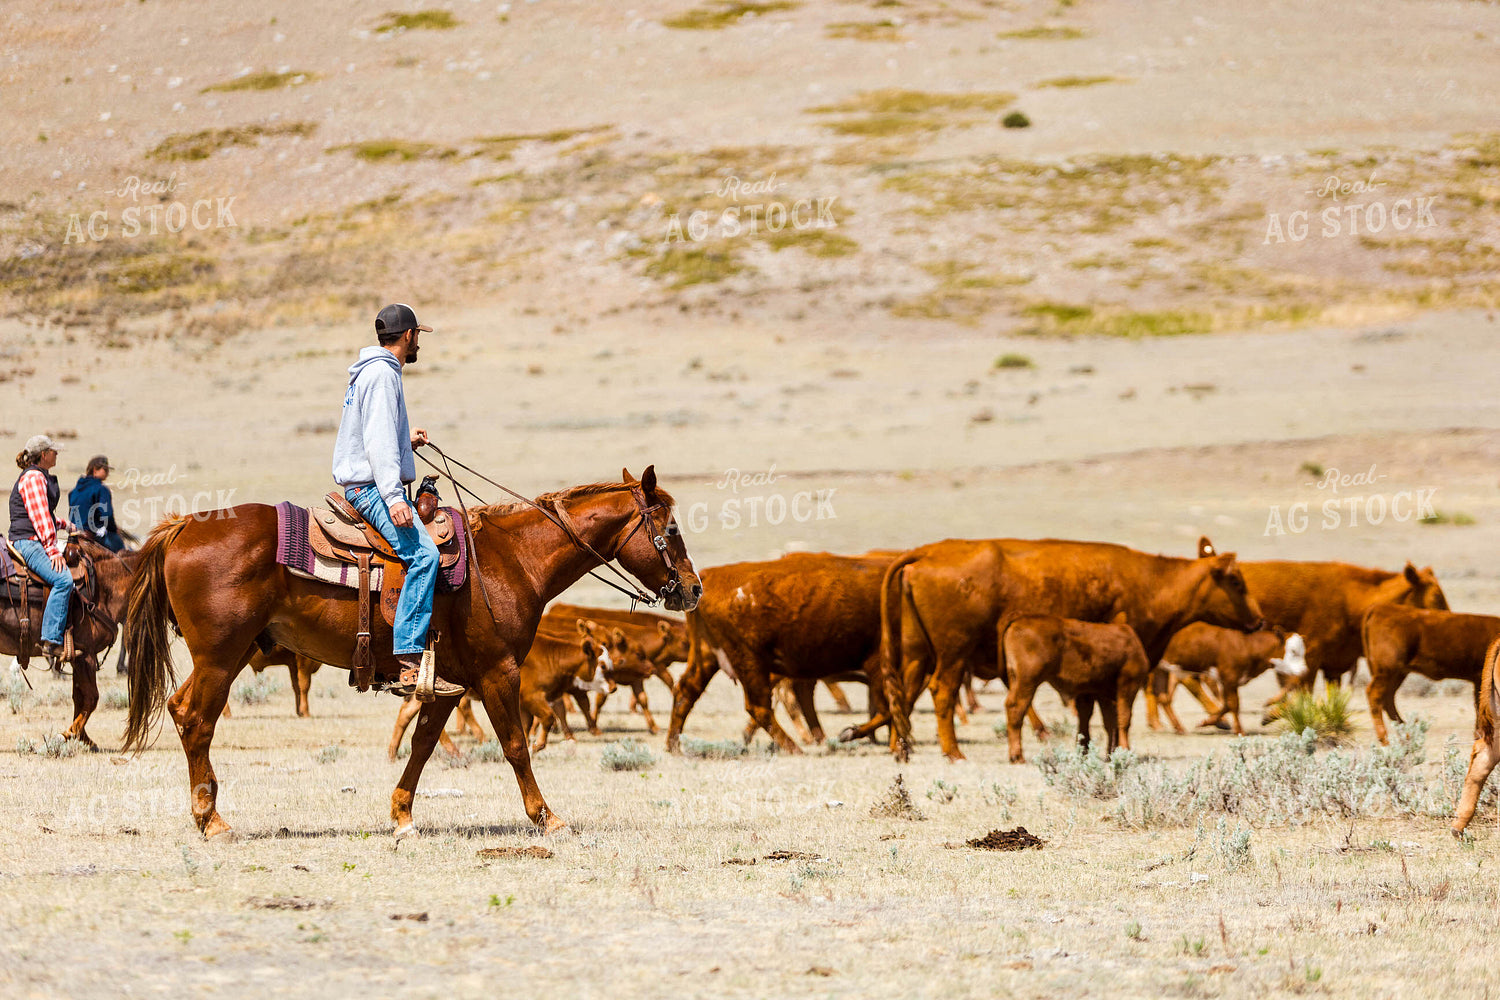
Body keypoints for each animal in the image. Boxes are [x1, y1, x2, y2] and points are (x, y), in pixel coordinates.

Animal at [1000, 615, 1150, 764]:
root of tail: (1017, 623)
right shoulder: (1128, 684)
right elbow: (1124, 719)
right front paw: (1125, 751)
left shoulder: (1100, 693)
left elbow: (1108, 722)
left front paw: (1110, 754)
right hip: (1028, 681)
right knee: (1016, 708)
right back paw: (1017, 756)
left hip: (1016, 679)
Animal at [1154, 624, 1308, 736]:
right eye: (1293, 651)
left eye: (1303, 652)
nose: (1304, 670)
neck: (1247, 645)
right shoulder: (1229, 677)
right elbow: (1234, 704)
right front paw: (1239, 731)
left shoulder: (1227, 681)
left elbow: (1226, 705)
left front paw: (1206, 722)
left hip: (1164, 670)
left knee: (1164, 698)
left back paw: (1178, 727)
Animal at [1361, 604, 1500, 744]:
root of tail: (1381, 608)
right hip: (1387, 670)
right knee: (1374, 695)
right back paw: (1385, 740)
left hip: (1398, 673)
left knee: (1388, 698)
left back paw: (1406, 735)